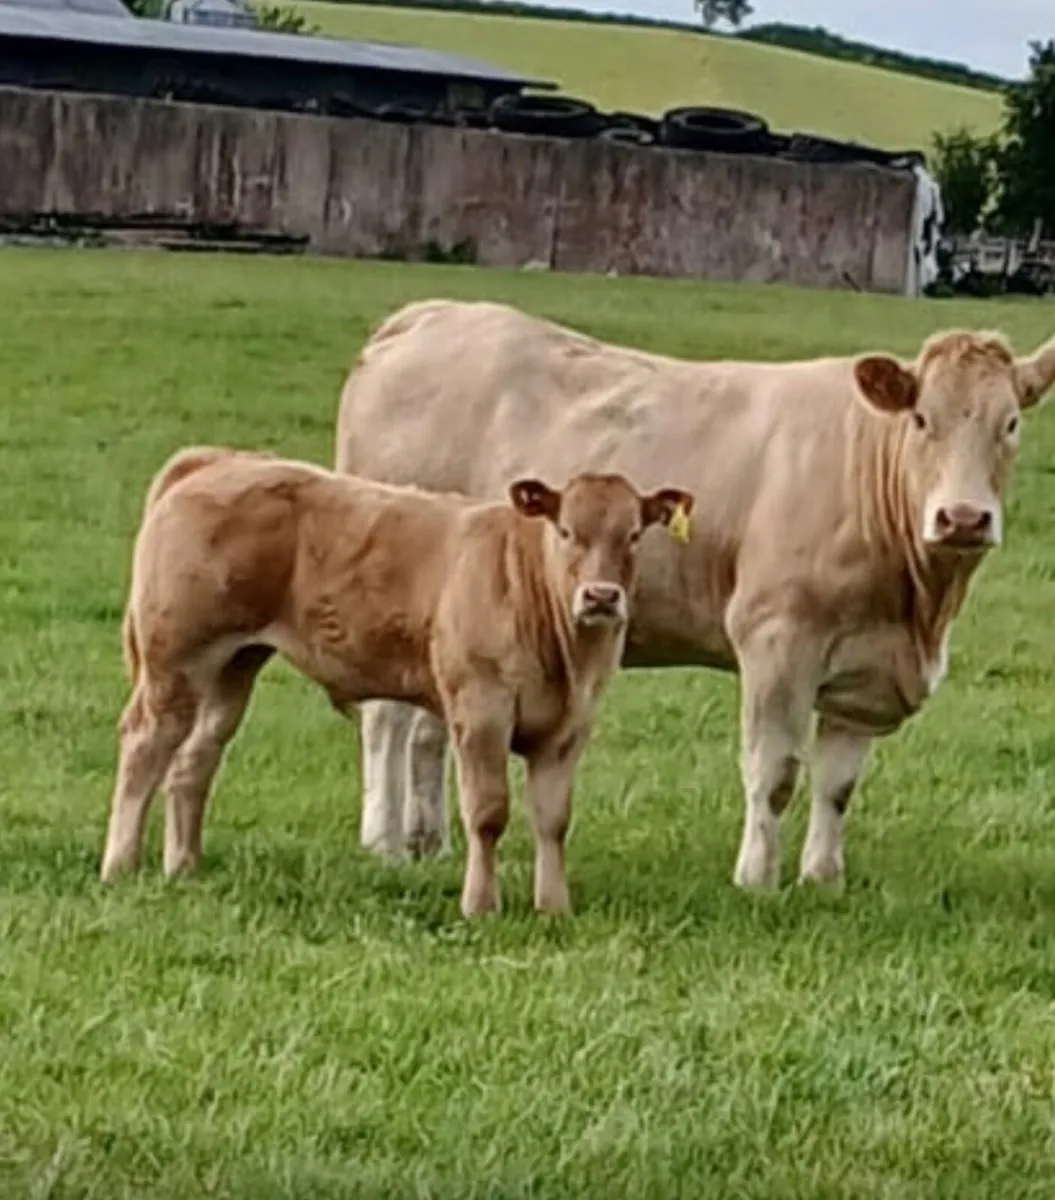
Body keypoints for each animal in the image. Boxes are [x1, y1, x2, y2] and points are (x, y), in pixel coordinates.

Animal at [98, 444, 695, 917]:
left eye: (633, 535)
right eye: (567, 531)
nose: (601, 596)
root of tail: (219, 460)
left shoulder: (571, 726)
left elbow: (552, 819)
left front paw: (554, 908)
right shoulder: (480, 709)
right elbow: (487, 812)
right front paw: (481, 905)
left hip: (232, 666)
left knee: (194, 760)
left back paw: (184, 865)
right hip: (175, 662)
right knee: (146, 746)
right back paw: (120, 865)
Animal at [335, 299, 1055, 890]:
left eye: (1010, 423)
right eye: (922, 419)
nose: (962, 518)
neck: (917, 609)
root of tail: (425, 316)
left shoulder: (867, 671)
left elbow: (837, 785)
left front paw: (822, 880)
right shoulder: (777, 638)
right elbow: (774, 773)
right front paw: (756, 880)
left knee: (429, 730)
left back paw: (430, 844)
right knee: (385, 722)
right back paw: (384, 843)